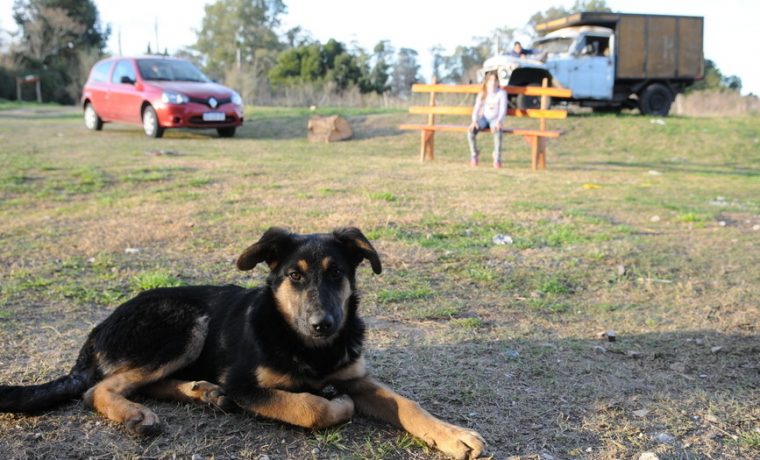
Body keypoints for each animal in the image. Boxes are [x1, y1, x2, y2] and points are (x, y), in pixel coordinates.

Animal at [0, 227, 484, 460]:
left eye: (336, 274)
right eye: (294, 276)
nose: (323, 324)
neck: (308, 348)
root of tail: (97, 328)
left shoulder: (356, 376)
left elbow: (408, 405)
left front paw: (454, 436)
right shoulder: (246, 384)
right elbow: (312, 408)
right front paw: (335, 405)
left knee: (140, 383)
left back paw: (203, 393)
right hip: (184, 322)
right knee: (98, 389)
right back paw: (139, 414)